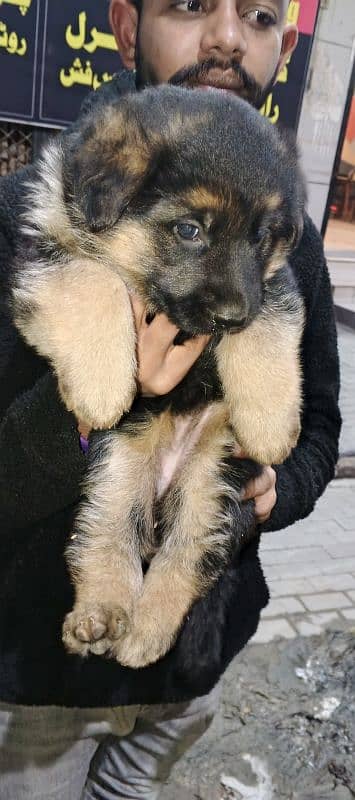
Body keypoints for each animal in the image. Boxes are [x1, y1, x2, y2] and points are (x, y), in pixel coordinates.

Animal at [11, 84, 306, 664]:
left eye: (262, 237)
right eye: (190, 230)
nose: (232, 317)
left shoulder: (272, 284)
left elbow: (270, 324)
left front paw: (270, 426)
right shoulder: (44, 251)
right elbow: (90, 278)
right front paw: (102, 386)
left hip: (214, 483)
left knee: (188, 557)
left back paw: (145, 631)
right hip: (116, 470)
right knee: (104, 538)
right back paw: (100, 619)